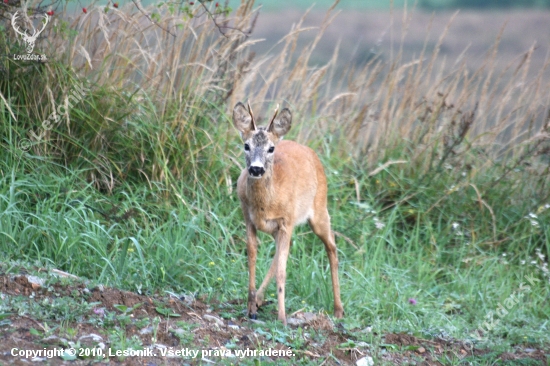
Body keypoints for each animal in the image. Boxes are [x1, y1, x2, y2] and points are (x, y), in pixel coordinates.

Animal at [233, 101, 344, 324]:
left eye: (271, 148)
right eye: (246, 145)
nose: (256, 169)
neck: (265, 204)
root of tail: (311, 152)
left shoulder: (286, 221)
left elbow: (282, 272)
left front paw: (282, 318)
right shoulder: (248, 218)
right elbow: (252, 258)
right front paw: (250, 308)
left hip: (319, 210)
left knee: (332, 245)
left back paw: (338, 310)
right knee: (283, 253)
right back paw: (259, 300)